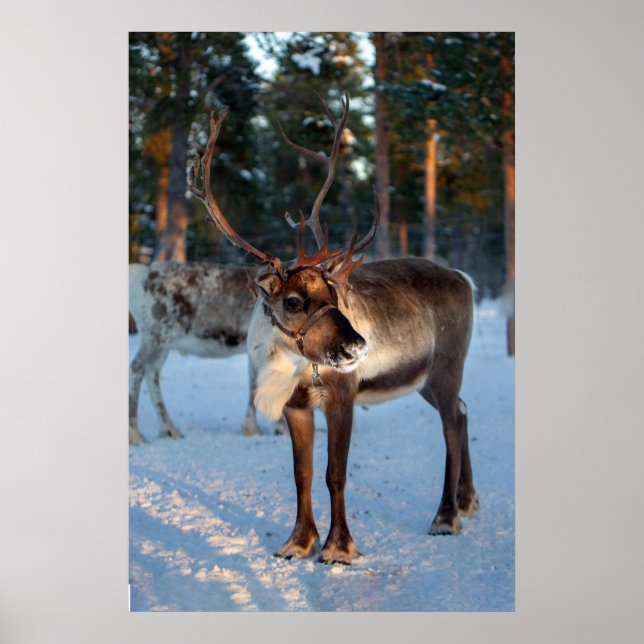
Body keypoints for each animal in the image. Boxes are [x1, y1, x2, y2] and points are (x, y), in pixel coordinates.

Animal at [188, 92, 477, 564]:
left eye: (334, 294)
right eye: (292, 301)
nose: (358, 346)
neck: (288, 363)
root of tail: (464, 278)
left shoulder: (342, 395)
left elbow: (334, 474)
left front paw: (339, 547)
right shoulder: (295, 405)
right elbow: (301, 474)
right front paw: (297, 543)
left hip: (447, 367)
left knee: (452, 424)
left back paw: (446, 517)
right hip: (424, 380)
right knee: (464, 412)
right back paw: (468, 501)